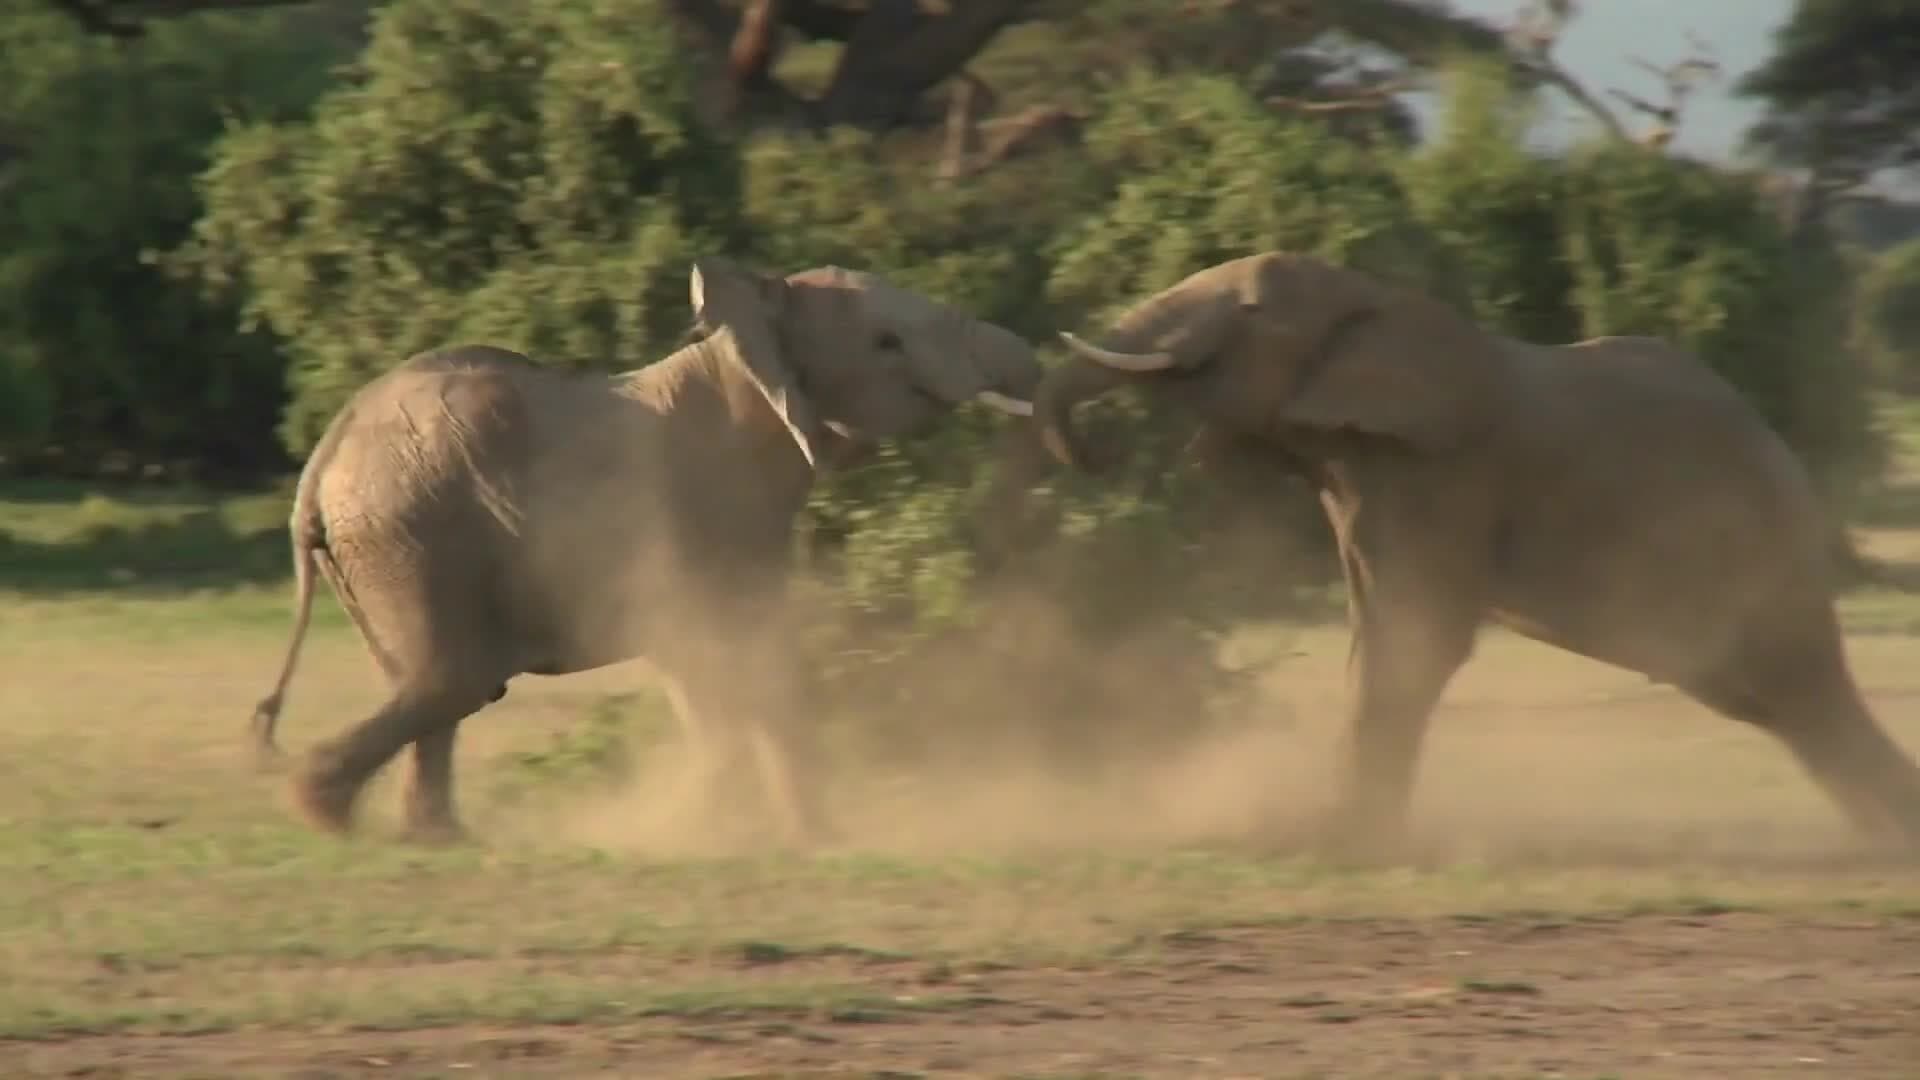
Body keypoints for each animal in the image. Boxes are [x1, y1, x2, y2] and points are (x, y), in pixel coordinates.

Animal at [247, 257, 1039, 845]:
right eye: (885, 343)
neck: (740, 342)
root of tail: (321, 462)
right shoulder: (715, 507)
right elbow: (753, 653)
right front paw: (809, 839)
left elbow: (708, 666)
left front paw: (718, 826)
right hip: (412, 533)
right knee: (453, 677)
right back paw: (323, 813)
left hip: (388, 544)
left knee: (431, 682)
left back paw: (433, 837)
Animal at [1023, 250, 1920, 856]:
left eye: (1246, 308)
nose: (1097, 454)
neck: (1371, 298)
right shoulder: (1361, 472)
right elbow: (1377, 633)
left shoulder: (1443, 474)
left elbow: (1417, 637)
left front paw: (1345, 844)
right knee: (1782, 705)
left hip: (1750, 554)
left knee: (1801, 691)